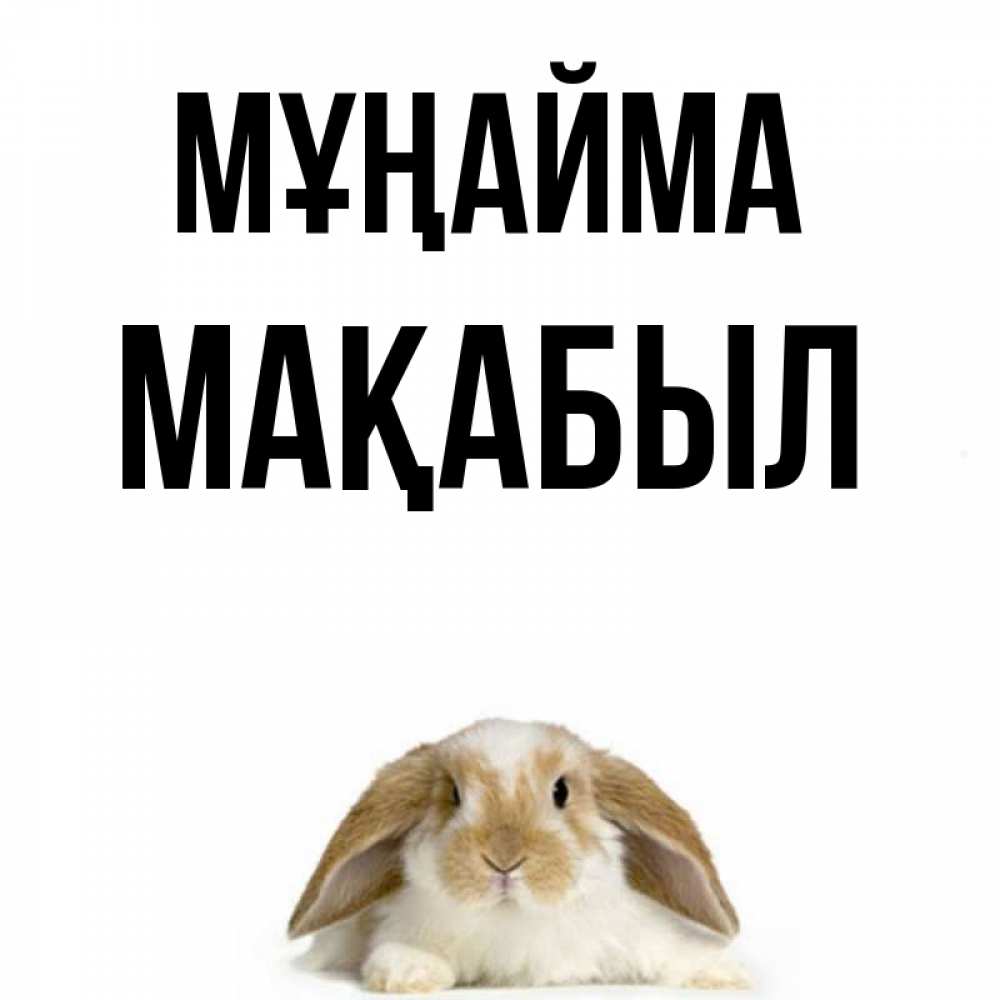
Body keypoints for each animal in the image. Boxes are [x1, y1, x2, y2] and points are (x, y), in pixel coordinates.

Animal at [288, 719, 750, 991]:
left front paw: (725, 973)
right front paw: (410, 973)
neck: (514, 918)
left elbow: (674, 950)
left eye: (561, 791)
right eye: (453, 795)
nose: (504, 859)